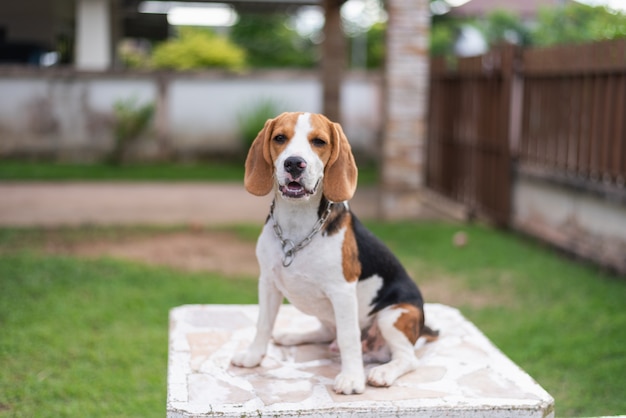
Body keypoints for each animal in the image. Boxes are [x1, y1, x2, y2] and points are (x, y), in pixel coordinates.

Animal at [232, 112, 436, 396]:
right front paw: (253, 357)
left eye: (319, 141)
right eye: (280, 138)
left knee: (407, 358)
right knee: (328, 333)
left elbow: (348, 337)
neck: (297, 227)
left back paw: (383, 372)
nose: (294, 163)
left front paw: (351, 379)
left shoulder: (342, 292)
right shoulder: (268, 283)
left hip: (394, 315)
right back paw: (292, 336)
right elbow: (263, 324)